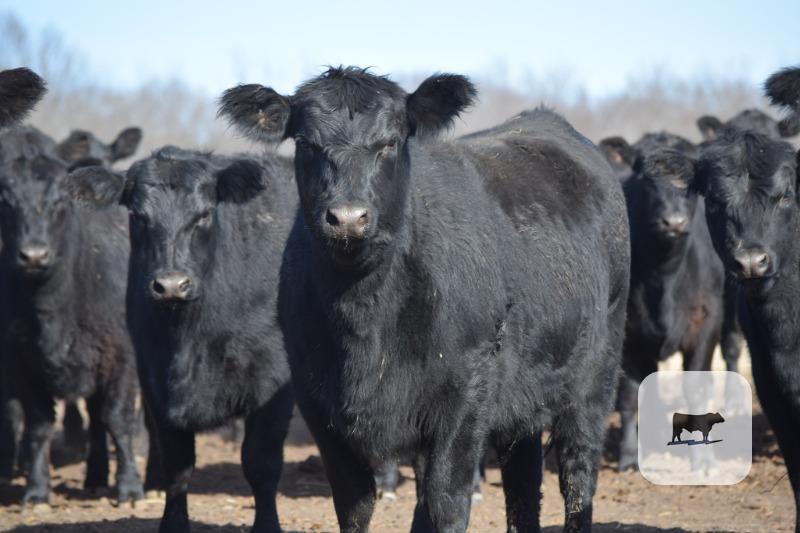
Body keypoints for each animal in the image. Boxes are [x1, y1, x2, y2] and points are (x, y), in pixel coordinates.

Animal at [0, 126, 143, 507]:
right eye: (6, 199)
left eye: (59, 200)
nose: (34, 255)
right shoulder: (20, 360)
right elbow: (38, 424)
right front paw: (36, 490)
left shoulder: (123, 355)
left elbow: (118, 419)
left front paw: (130, 488)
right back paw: (94, 475)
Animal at [68, 146, 296, 533]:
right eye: (138, 215)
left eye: (204, 214)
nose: (171, 285)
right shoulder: (154, 377)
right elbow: (177, 465)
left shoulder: (274, 380)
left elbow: (261, 462)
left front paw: (267, 525)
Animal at [219, 66, 630, 533]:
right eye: (306, 143)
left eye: (391, 141)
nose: (348, 218)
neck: (365, 317)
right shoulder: (317, 398)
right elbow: (355, 503)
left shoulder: (465, 394)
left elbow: (445, 501)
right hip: (524, 391)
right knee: (522, 481)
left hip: (596, 373)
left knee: (578, 474)